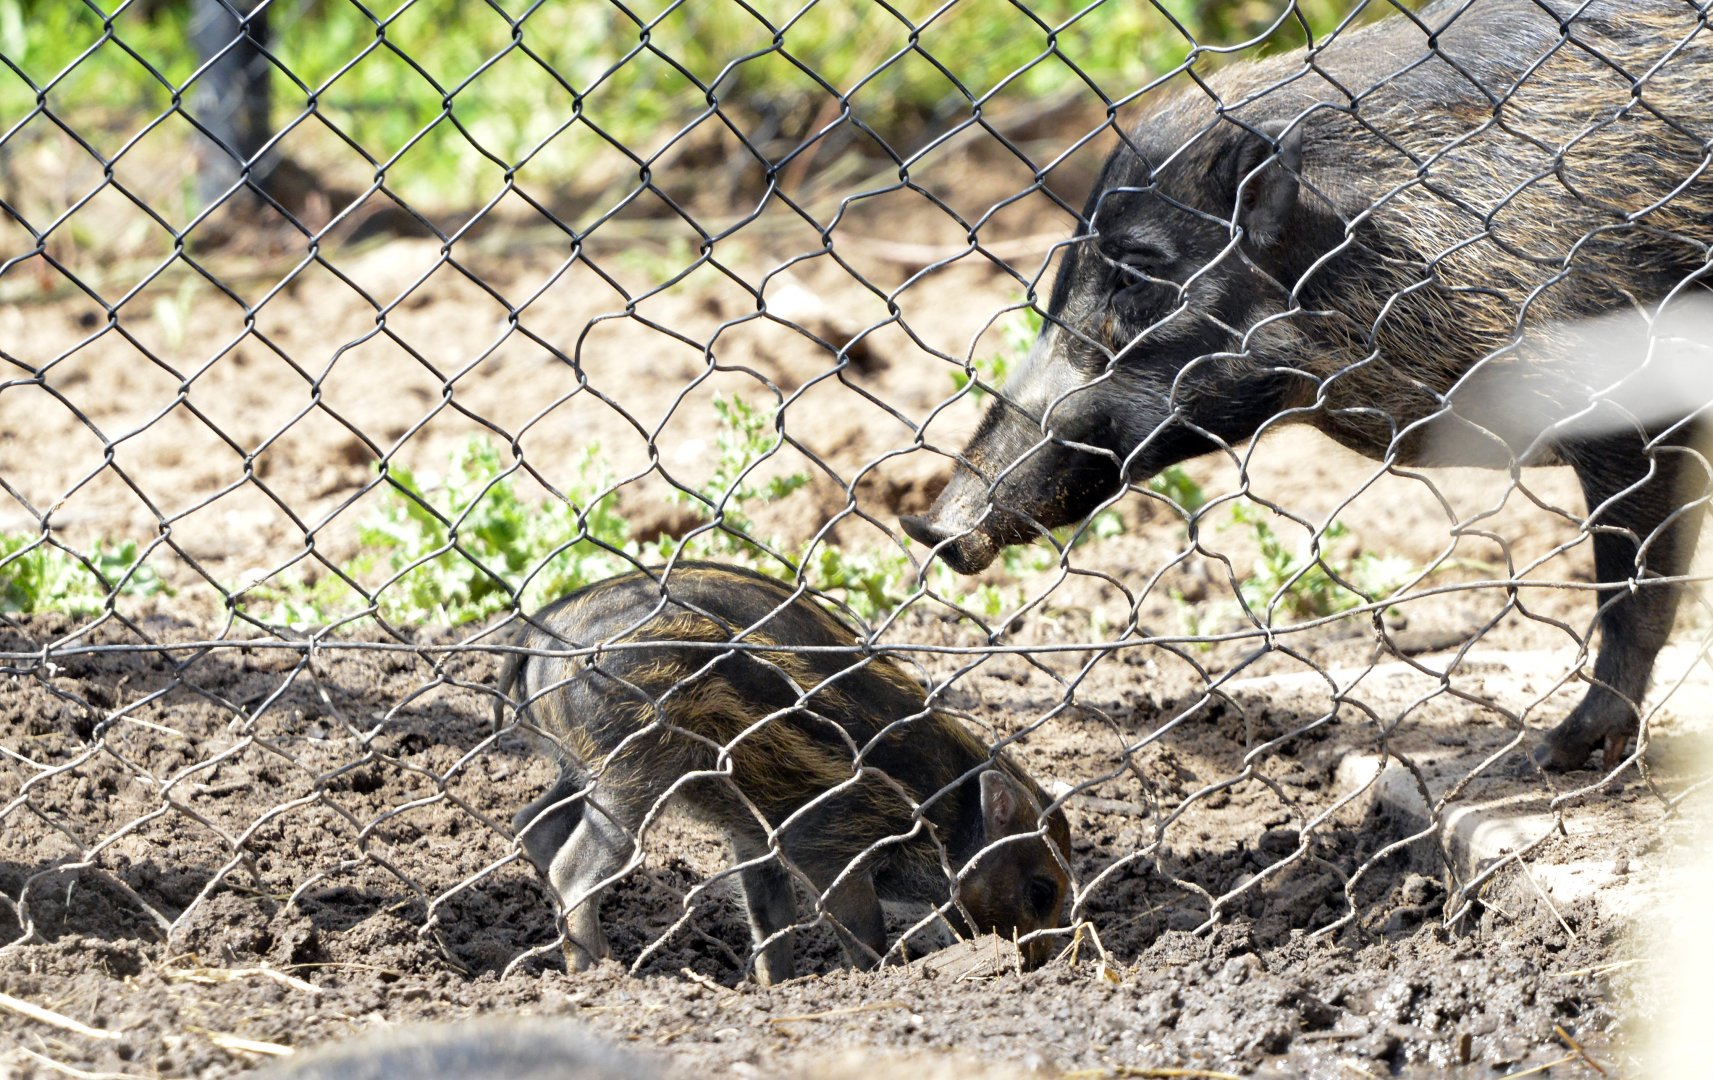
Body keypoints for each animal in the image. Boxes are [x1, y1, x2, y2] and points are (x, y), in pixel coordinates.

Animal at [492, 562, 1073, 984]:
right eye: (1042, 890)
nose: (1035, 966)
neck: (943, 809)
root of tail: (536, 641)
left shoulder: (757, 838)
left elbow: (771, 921)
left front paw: (777, 987)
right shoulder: (833, 847)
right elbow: (862, 930)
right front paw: (883, 975)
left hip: (580, 765)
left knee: (532, 825)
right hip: (629, 770)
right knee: (574, 866)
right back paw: (598, 970)